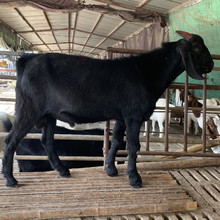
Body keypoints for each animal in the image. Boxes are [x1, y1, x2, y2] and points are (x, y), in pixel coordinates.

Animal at [1, 30, 213, 187]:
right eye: (197, 47)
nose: (211, 64)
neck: (145, 72)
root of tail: (25, 61)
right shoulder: (133, 116)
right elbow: (133, 145)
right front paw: (134, 178)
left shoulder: (121, 116)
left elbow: (117, 141)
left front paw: (111, 170)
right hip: (29, 109)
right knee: (11, 139)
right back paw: (10, 179)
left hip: (49, 114)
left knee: (47, 140)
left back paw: (62, 171)